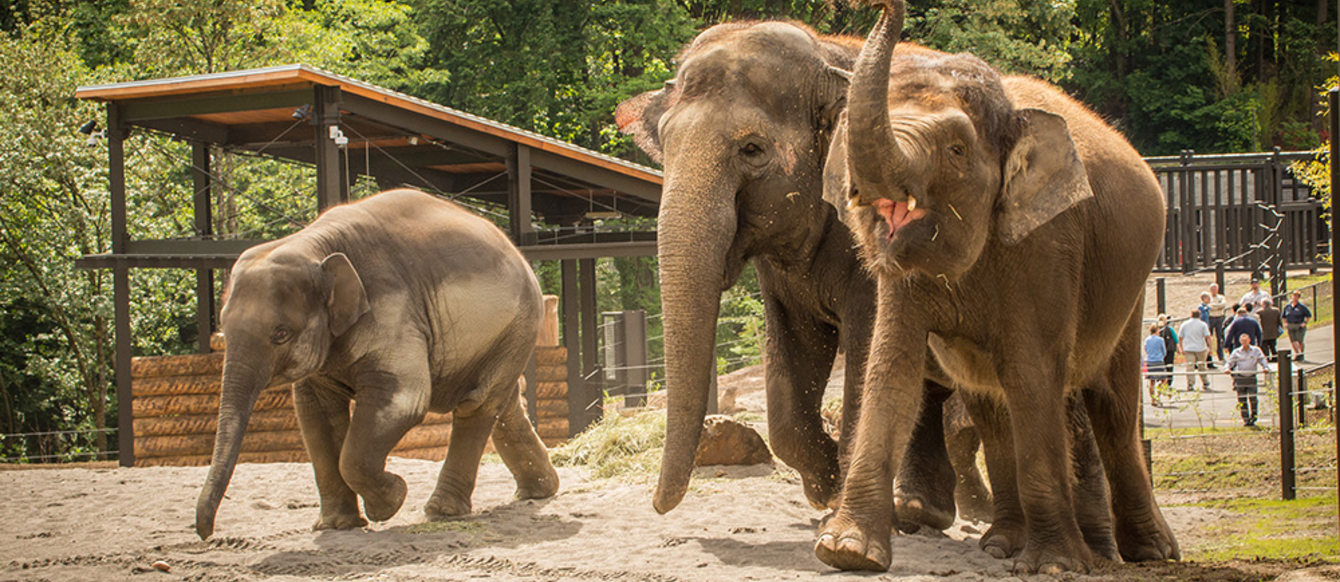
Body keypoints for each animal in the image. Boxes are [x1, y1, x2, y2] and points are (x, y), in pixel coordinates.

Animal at [195, 189, 560, 539]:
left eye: (280, 333)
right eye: (222, 325)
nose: (205, 533)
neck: (313, 245)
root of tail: (516, 251)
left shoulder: (392, 308)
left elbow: (405, 400)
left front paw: (391, 500)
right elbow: (316, 413)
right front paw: (337, 526)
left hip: (519, 323)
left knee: (477, 404)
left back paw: (441, 512)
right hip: (506, 335)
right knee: (503, 403)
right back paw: (540, 490)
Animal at [809, 1, 1179, 573]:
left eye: (958, 149)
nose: (889, 6)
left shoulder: (1048, 244)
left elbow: (1032, 373)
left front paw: (1055, 566)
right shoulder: (902, 275)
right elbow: (893, 370)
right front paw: (847, 552)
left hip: (1133, 288)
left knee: (1112, 407)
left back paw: (1147, 553)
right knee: (991, 402)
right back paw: (1004, 542)